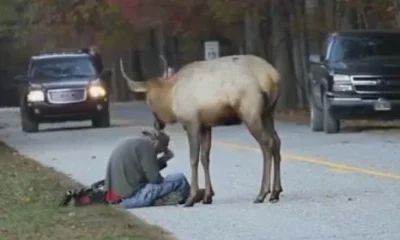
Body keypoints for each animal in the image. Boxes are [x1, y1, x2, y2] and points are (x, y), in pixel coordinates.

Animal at [120, 54, 282, 206]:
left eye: (148, 100)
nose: (157, 124)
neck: (171, 98)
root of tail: (272, 75)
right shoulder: (206, 126)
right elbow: (205, 158)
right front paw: (207, 196)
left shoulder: (192, 123)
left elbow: (193, 158)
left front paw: (191, 198)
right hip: (268, 113)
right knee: (276, 141)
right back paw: (275, 192)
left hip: (251, 113)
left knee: (266, 144)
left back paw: (262, 193)